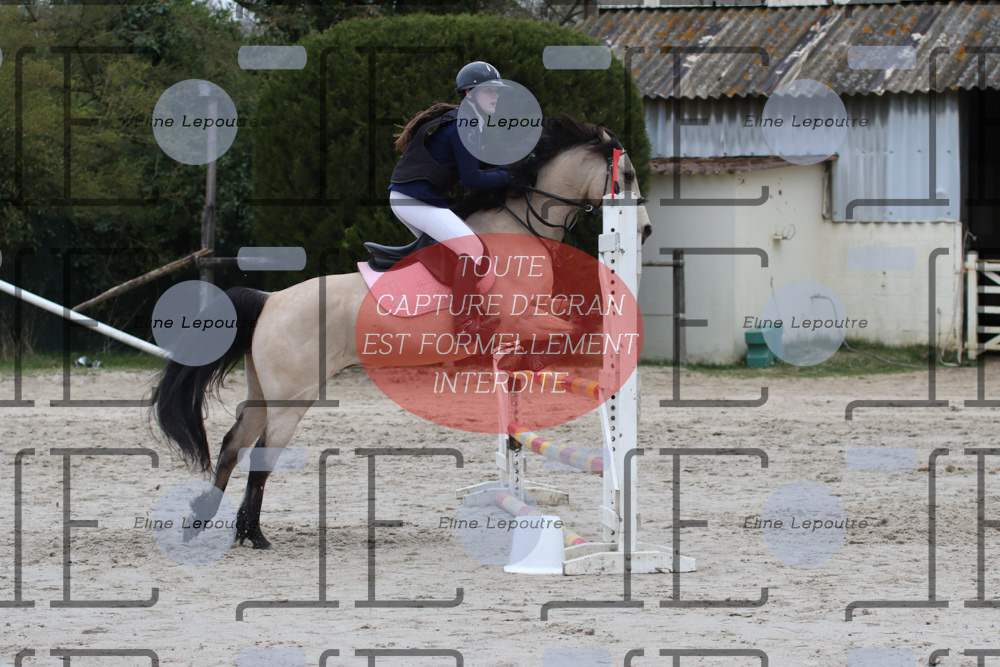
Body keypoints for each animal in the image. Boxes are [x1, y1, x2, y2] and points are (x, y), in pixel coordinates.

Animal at [151, 114, 653, 549]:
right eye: (626, 175)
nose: (645, 230)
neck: (520, 231)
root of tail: (270, 300)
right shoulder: (522, 314)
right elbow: (573, 325)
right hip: (293, 397)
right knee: (260, 454)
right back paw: (253, 535)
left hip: (265, 391)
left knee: (234, 444)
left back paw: (208, 524)